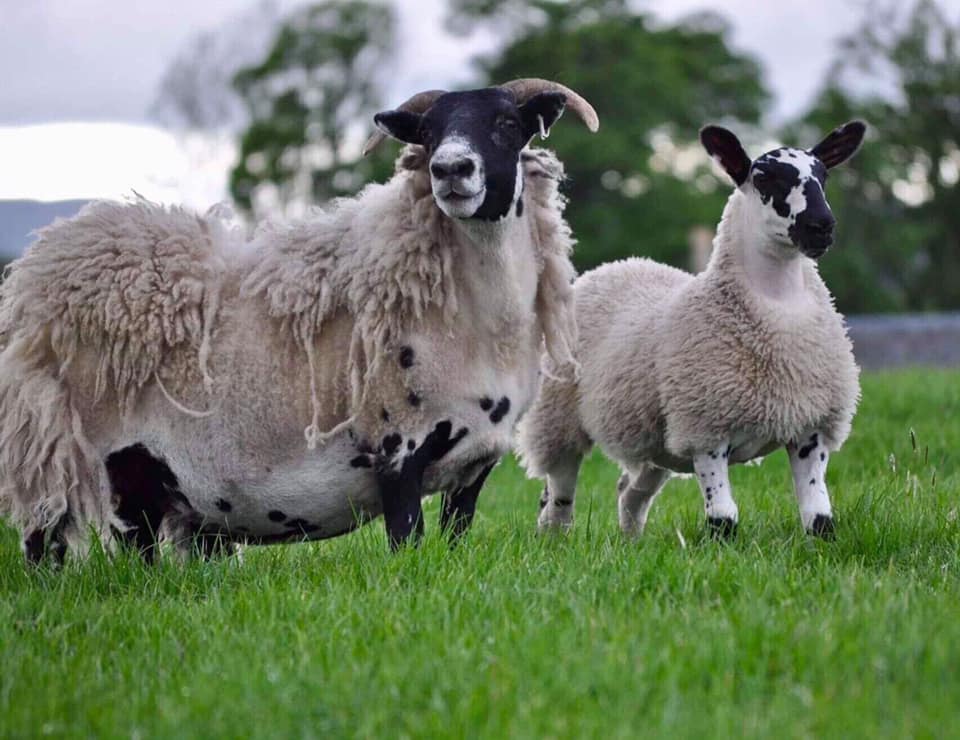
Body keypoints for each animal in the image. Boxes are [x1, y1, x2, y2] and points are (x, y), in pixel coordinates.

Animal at [0, 79, 600, 562]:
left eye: (506, 124)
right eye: (428, 133)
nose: (450, 169)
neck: (475, 323)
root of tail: (38, 270)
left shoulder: (474, 462)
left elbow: (454, 540)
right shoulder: (396, 448)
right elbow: (407, 543)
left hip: (142, 473)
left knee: (138, 550)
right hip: (57, 445)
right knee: (45, 540)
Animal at [518, 121, 866, 538]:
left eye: (824, 175)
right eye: (763, 177)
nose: (821, 227)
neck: (779, 312)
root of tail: (618, 264)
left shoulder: (810, 429)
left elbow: (819, 518)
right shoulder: (705, 430)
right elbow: (724, 519)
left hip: (656, 441)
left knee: (629, 493)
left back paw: (631, 542)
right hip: (559, 417)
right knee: (558, 496)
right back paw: (553, 538)